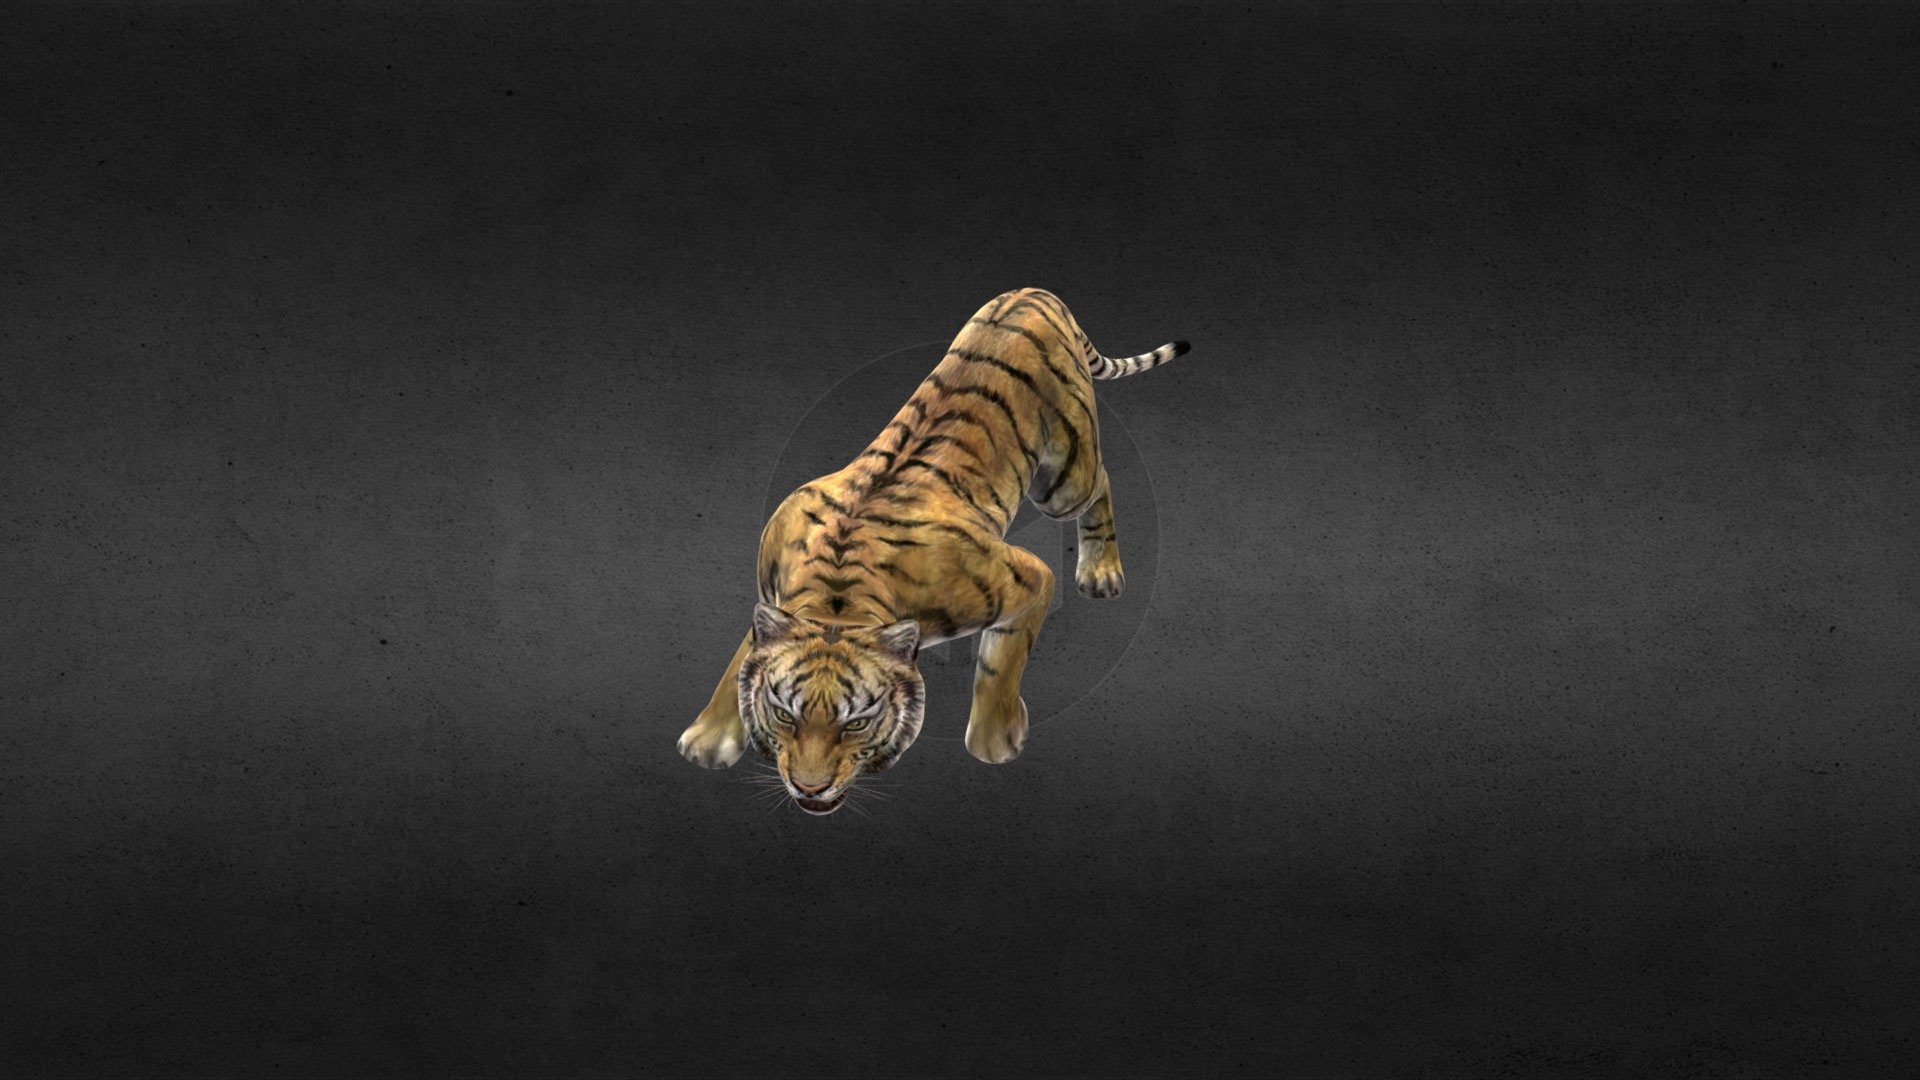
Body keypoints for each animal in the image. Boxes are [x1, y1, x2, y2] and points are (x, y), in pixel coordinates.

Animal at [676, 288, 1189, 815]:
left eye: (857, 723)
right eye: (784, 714)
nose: (810, 787)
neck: (837, 597)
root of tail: (1033, 292)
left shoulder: (1028, 579)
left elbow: (999, 667)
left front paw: (996, 741)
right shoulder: (772, 599)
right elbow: (737, 664)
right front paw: (706, 738)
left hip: (1065, 479)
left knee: (1102, 478)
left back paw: (1101, 572)